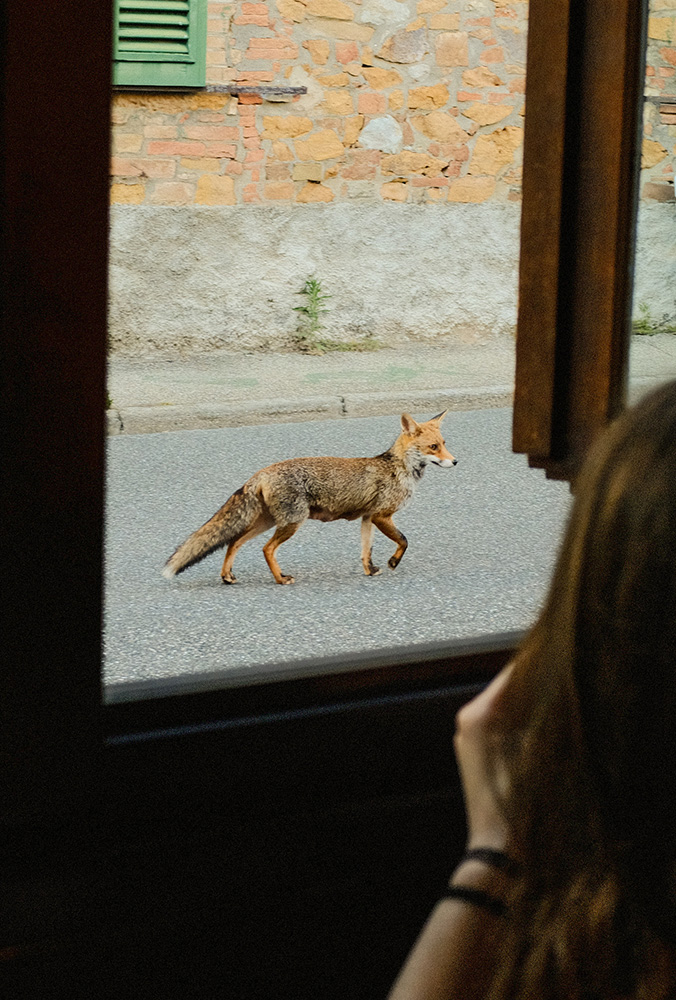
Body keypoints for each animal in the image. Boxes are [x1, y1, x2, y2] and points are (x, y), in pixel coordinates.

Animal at [164, 410, 456, 584]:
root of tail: (262, 471)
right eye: (433, 447)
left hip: (268, 522)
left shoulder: (368, 518)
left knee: (234, 542)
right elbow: (404, 541)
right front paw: (393, 562)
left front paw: (370, 571)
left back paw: (227, 576)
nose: (455, 461)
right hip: (292, 522)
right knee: (265, 548)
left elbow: (366, 551)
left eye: (444, 444)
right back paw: (281, 579)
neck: (398, 468)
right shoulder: (382, 515)